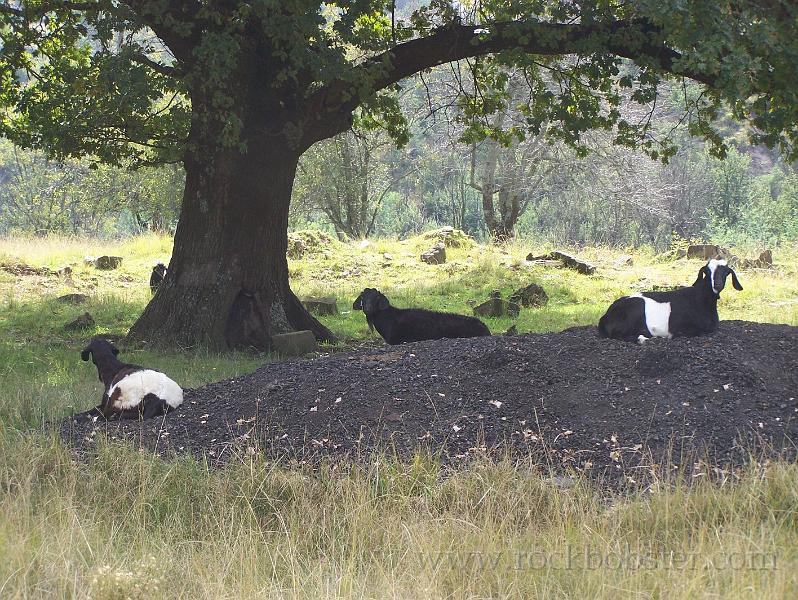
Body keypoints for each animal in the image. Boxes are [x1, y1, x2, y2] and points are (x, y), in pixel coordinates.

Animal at [600, 256, 744, 344]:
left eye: (726, 272)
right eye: (707, 272)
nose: (717, 284)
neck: (700, 299)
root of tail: (607, 314)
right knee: (617, 334)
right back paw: (644, 339)